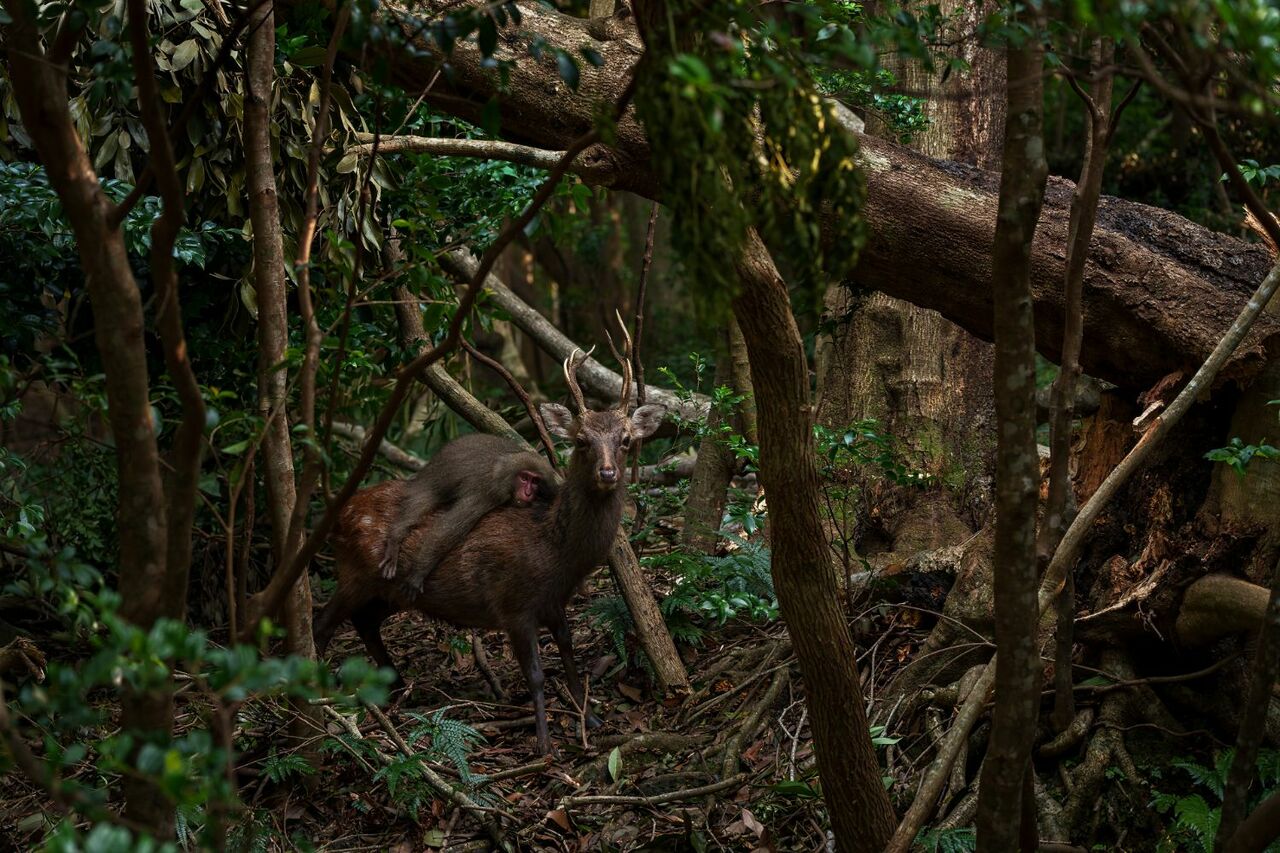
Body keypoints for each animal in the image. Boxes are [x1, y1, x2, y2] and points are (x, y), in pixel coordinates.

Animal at [378, 435, 560, 589]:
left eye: (535, 481)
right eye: (524, 478)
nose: (528, 493)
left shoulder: (551, 489)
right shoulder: (488, 491)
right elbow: (447, 531)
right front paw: (417, 573)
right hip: (435, 475)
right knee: (422, 498)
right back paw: (396, 536)